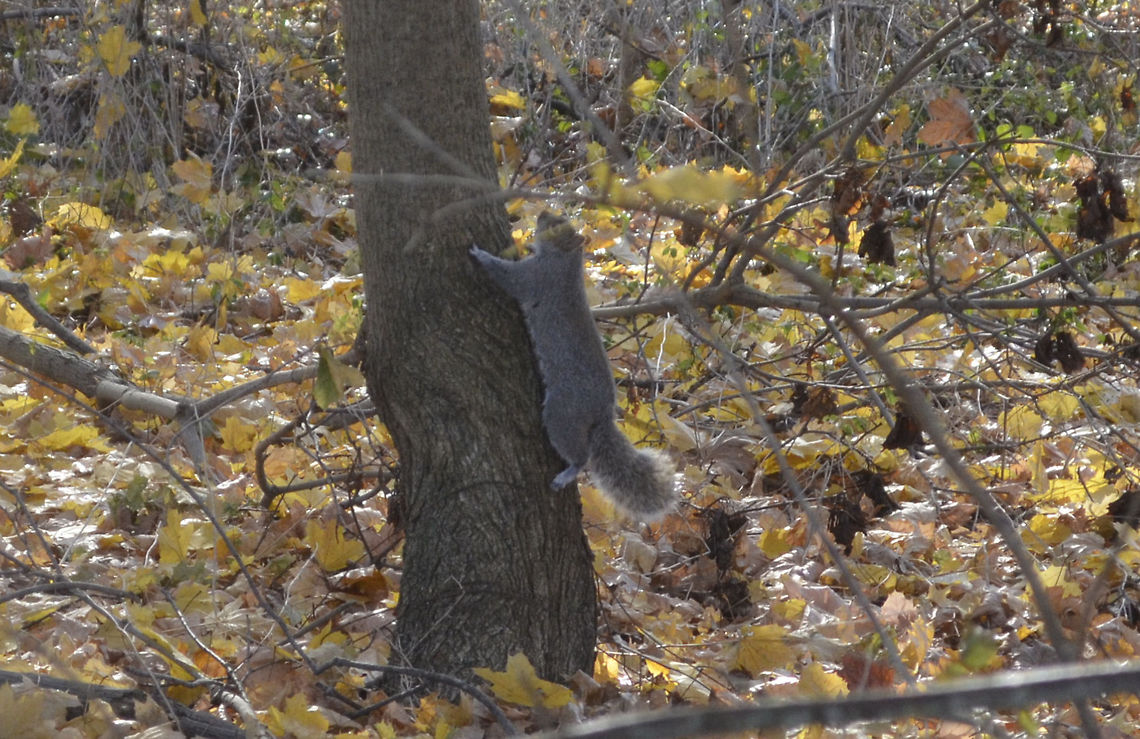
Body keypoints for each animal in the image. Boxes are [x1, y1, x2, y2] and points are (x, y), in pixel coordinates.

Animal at [470, 212, 678, 519]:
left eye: (557, 227)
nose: (542, 214)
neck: (566, 263)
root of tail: (602, 412)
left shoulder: (536, 277)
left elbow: (508, 277)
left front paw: (479, 253)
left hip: (563, 412)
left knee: (579, 455)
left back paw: (568, 473)